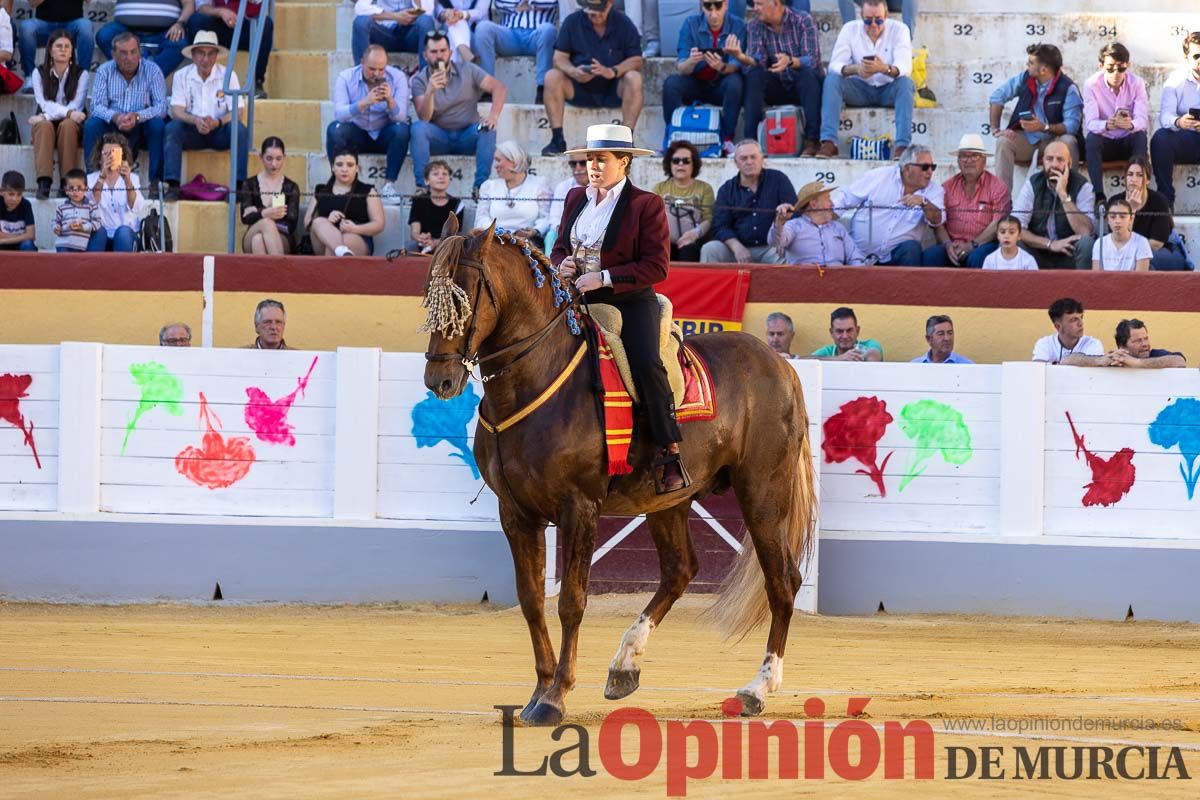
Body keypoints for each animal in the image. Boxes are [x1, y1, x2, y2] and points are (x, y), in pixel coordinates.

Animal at [420, 215, 816, 729]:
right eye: (429, 294)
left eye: (463, 295)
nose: (439, 380)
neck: (536, 376)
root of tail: (780, 365)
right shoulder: (516, 513)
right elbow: (531, 600)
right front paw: (537, 692)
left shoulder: (579, 508)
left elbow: (572, 600)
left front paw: (555, 697)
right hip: (669, 499)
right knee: (680, 570)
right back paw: (624, 666)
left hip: (763, 493)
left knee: (782, 581)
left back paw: (756, 689)